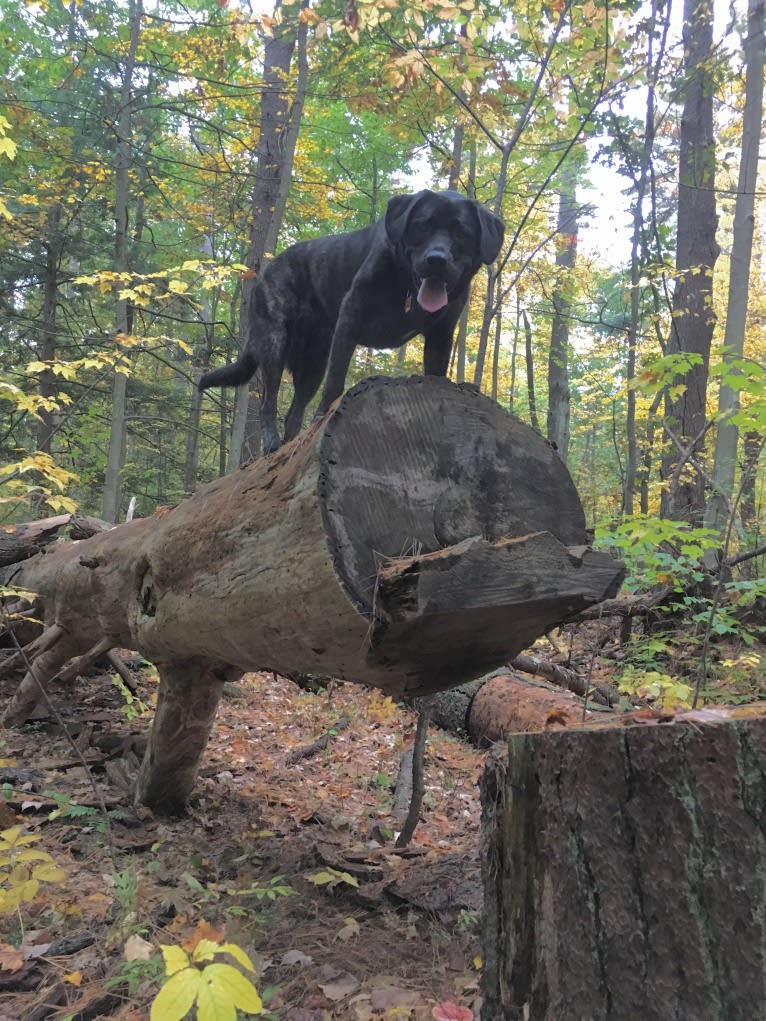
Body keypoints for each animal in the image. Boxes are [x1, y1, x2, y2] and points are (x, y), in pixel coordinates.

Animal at [201, 189, 506, 453]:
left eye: (461, 232)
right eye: (422, 226)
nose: (436, 260)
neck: (405, 284)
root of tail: (265, 270)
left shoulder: (441, 336)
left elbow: (435, 376)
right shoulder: (350, 319)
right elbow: (335, 384)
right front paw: (323, 419)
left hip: (313, 365)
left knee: (294, 413)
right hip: (275, 342)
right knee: (269, 401)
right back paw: (273, 443)